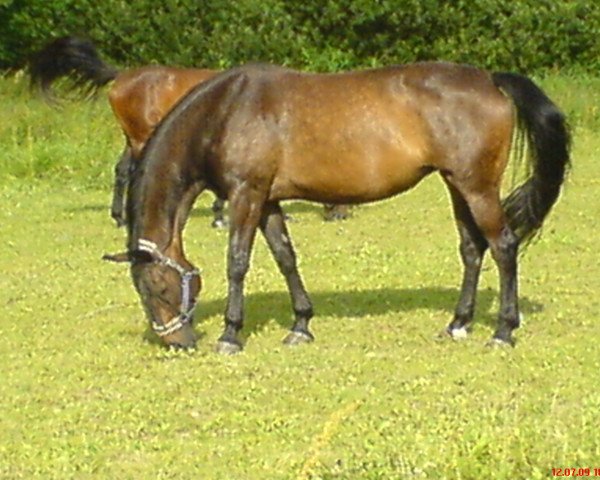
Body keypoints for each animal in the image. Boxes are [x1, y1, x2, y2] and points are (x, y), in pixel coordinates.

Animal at [29, 35, 352, 227]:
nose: (340, 212)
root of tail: (123, 76)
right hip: (141, 138)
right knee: (133, 172)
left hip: (134, 137)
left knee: (121, 171)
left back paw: (120, 217)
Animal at [104, 62, 572, 352]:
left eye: (159, 287)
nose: (176, 341)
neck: (226, 111)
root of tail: (489, 79)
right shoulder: (267, 200)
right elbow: (286, 258)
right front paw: (300, 325)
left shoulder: (246, 195)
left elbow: (237, 262)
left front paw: (231, 334)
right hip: (458, 185)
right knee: (473, 249)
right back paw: (459, 324)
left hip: (478, 188)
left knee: (504, 246)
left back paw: (503, 331)